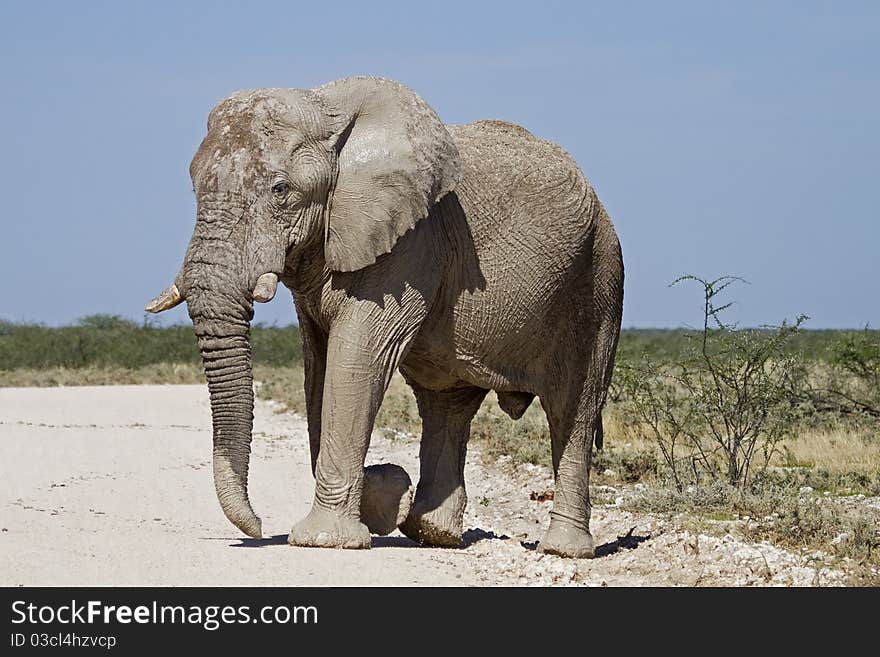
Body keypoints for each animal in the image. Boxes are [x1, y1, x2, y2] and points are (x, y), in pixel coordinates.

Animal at [146, 78, 624, 560]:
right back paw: (431, 532)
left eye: (280, 190)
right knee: (446, 403)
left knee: (573, 408)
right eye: (194, 187)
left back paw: (563, 550)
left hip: (600, 283)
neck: (328, 109)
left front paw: (325, 540)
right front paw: (383, 500)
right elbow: (319, 369)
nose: (259, 526)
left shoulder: (411, 243)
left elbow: (354, 360)